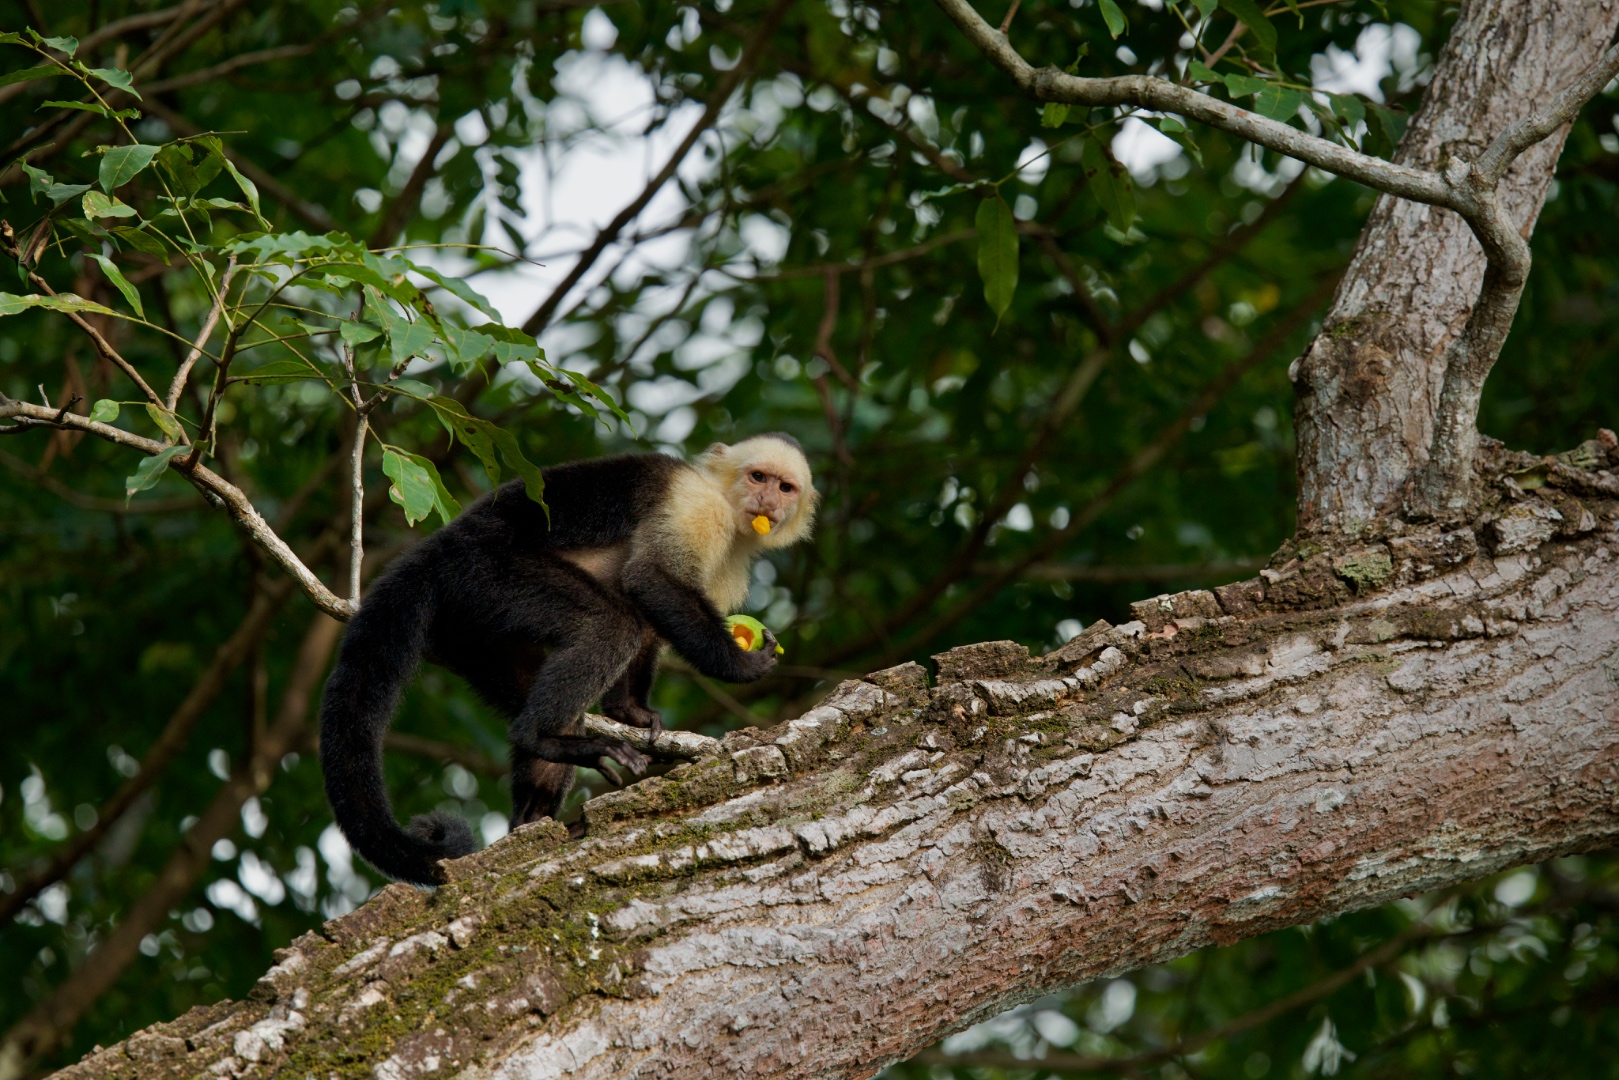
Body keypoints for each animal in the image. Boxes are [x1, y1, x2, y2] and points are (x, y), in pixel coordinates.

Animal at [317, 434, 816, 886]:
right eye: (757, 476)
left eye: (785, 487)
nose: (768, 499)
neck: (729, 511)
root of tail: (436, 547)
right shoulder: (696, 509)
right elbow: (650, 580)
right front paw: (741, 666)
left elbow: (650, 621)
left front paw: (629, 711)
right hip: (485, 572)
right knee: (608, 625)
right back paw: (542, 737)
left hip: (474, 634)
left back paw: (532, 815)